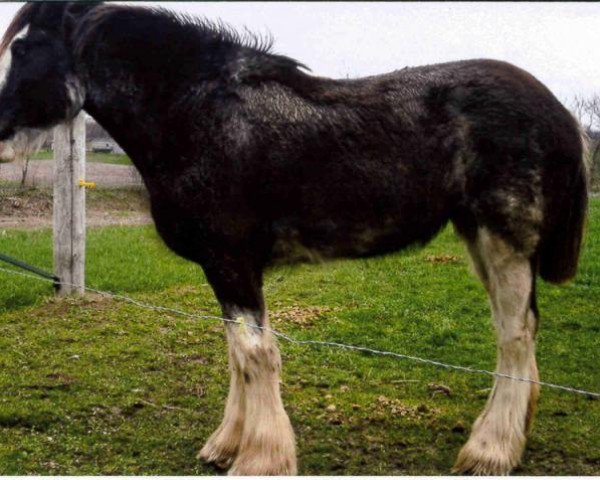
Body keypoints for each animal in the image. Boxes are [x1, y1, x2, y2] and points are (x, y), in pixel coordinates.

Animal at [0, 2, 588, 476]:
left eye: (24, 48)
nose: (1, 135)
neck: (197, 115)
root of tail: (558, 111)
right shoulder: (225, 269)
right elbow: (238, 356)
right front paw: (226, 446)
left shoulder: (232, 261)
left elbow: (256, 355)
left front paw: (260, 458)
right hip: (478, 238)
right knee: (519, 332)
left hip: (504, 239)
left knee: (515, 336)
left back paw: (490, 451)